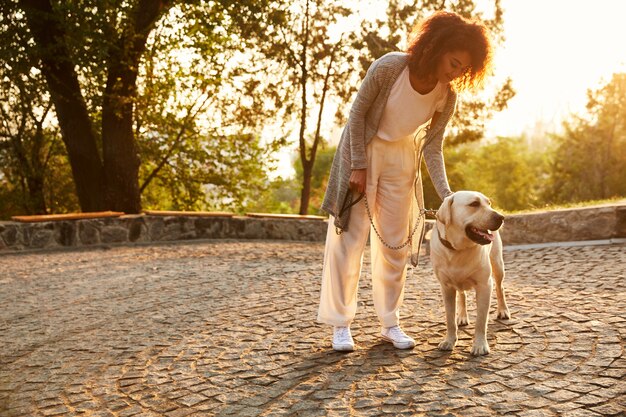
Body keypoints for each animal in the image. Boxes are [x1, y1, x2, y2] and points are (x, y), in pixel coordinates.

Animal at [432, 191, 510, 354]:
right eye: (474, 204)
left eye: (489, 203)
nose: (501, 217)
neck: (459, 249)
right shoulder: (446, 288)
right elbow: (449, 318)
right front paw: (449, 341)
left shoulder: (485, 285)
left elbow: (481, 320)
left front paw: (480, 345)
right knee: (462, 295)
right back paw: (462, 316)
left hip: (498, 265)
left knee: (500, 287)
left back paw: (503, 311)